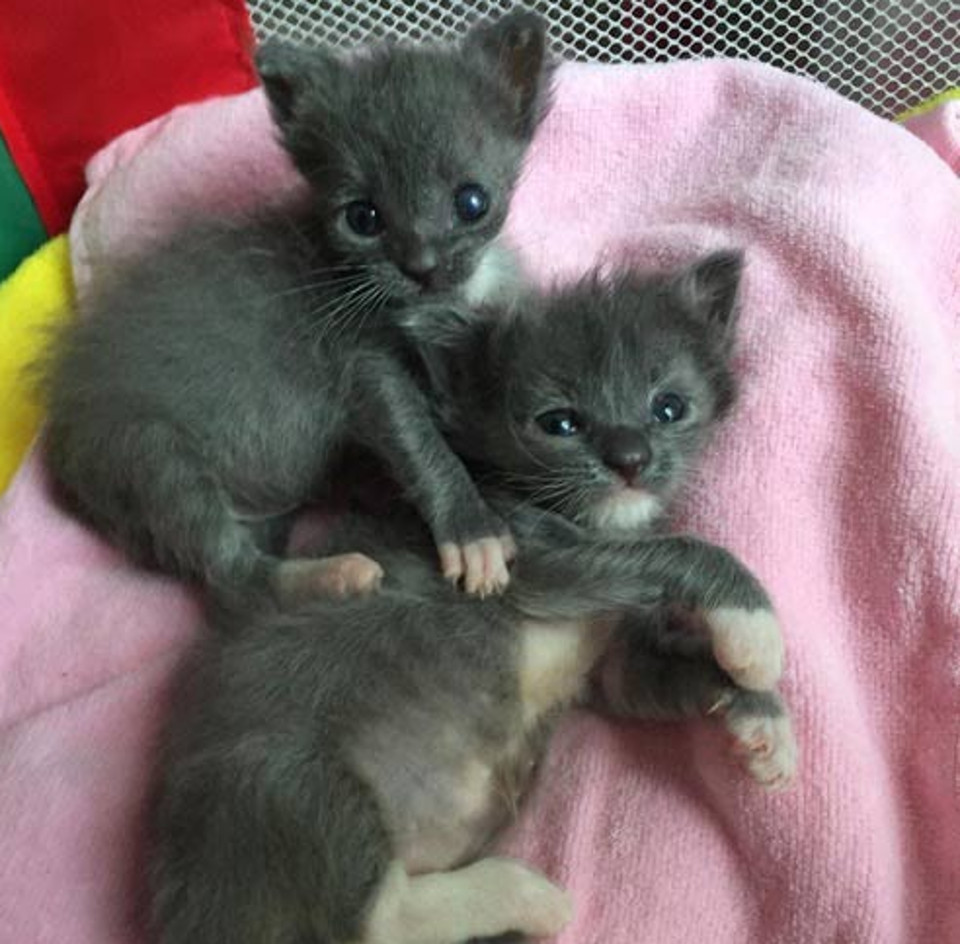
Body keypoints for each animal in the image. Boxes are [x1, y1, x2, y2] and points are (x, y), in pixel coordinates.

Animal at [37, 11, 552, 600]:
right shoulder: (364, 366)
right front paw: (473, 531)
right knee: (232, 575)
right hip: (144, 453)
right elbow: (417, 441)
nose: (420, 266)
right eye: (362, 218)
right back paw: (336, 574)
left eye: (472, 202)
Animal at [150, 254, 796, 944]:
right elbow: (683, 550)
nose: (630, 457)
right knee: (380, 917)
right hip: (287, 785)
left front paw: (760, 719)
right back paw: (528, 897)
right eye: (560, 422)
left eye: (669, 407)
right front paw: (756, 630)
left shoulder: (613, 668)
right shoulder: (527, 559)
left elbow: (661, 672)